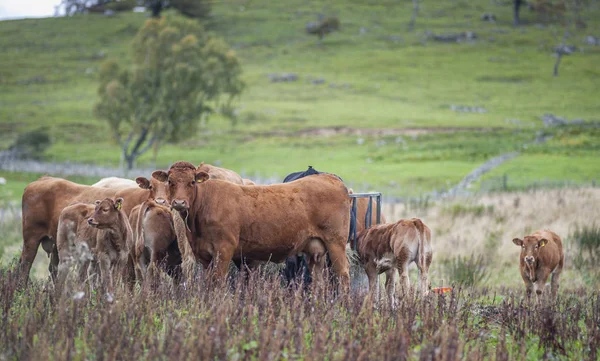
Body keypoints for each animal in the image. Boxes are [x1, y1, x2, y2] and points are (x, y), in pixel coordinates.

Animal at [19, 174, 166, 284]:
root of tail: (42, 179)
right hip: (31, 241)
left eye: (169, 184)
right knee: (24, 267)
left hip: (56, 248)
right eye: (151, 187)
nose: (161, 202)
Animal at [154, 162, 352, 288]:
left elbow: (219, 282)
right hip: (315, 249)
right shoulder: (203, 254)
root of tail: (329, 178)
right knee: (319, 280)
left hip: (336, 243)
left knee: (343, 275)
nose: (179, 203)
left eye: (192, 181)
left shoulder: (224, 250)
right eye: (170, 181)